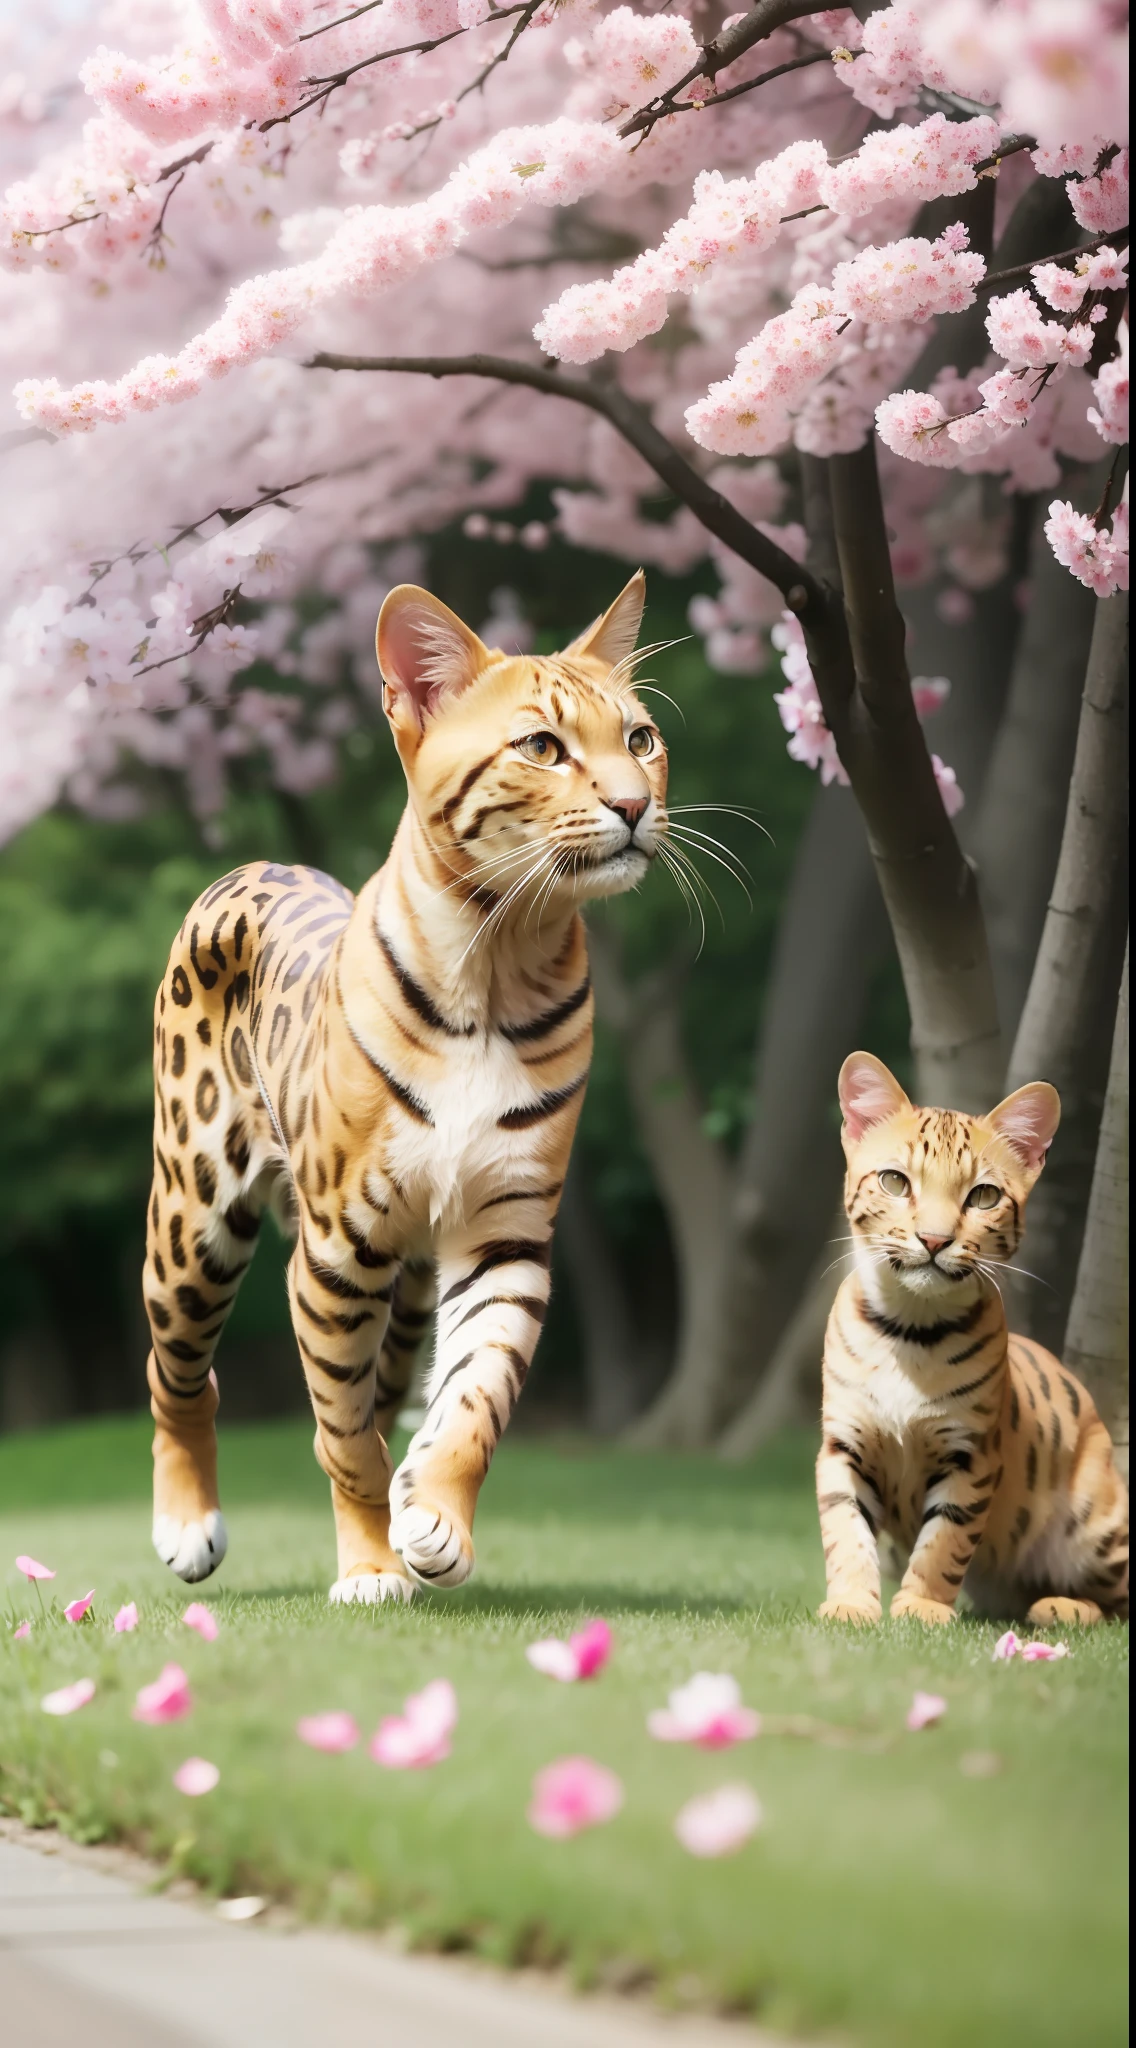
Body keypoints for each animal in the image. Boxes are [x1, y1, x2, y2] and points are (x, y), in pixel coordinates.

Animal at [142, 573, 667, 1597]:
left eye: (639, 739)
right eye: (542, 748)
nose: (635, 805)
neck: (502, 960)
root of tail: (254, 863)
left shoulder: (505, 1236)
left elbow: (473, 1398)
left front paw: (435, 1518)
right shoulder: (337, 1254)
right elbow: (342, 1435)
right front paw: (370, 1565)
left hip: (409, 1284)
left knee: (381, 1398)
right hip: (192, 1225)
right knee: (180, 1373)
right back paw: (187, 1524)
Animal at [818, 1048, 1129, 1622]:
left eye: (983, 1196)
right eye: (895, 1182)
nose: (934, 1240)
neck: (910, 1330)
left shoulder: (971, 1454)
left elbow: (945, 1540)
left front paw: (921, 1607)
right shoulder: (843, 1445)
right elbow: (845, 1530)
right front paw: (850, 1603)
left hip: (1096, 1528)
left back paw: (1062, 1607)